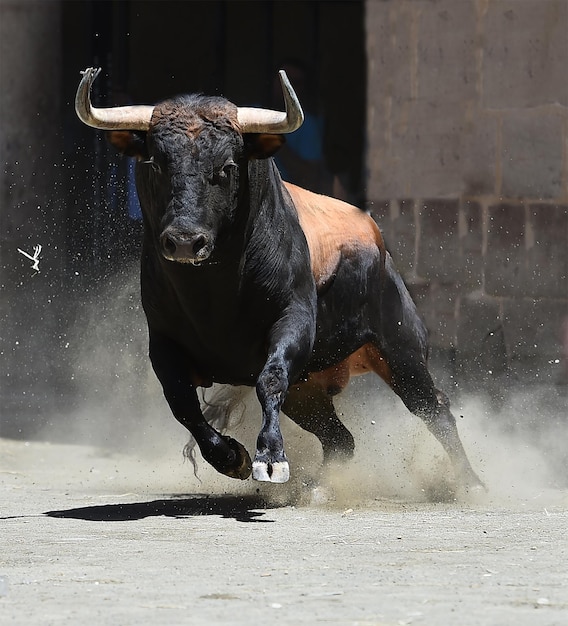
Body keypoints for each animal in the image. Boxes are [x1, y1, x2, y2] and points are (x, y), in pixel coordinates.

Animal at [75, 67, 484, 488]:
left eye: (226, 168)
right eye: (156, 164)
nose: (185, 241)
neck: (213, 293)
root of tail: (378, 243)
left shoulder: (293, 321)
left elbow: (269, 380)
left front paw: (270, 458)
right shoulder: (163, 340)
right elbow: (181, 402)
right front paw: (231, 457)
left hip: (401, 351)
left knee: (434, 409)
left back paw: (469, 482)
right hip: (308, 390)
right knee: (341, 439)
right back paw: (319, 488)